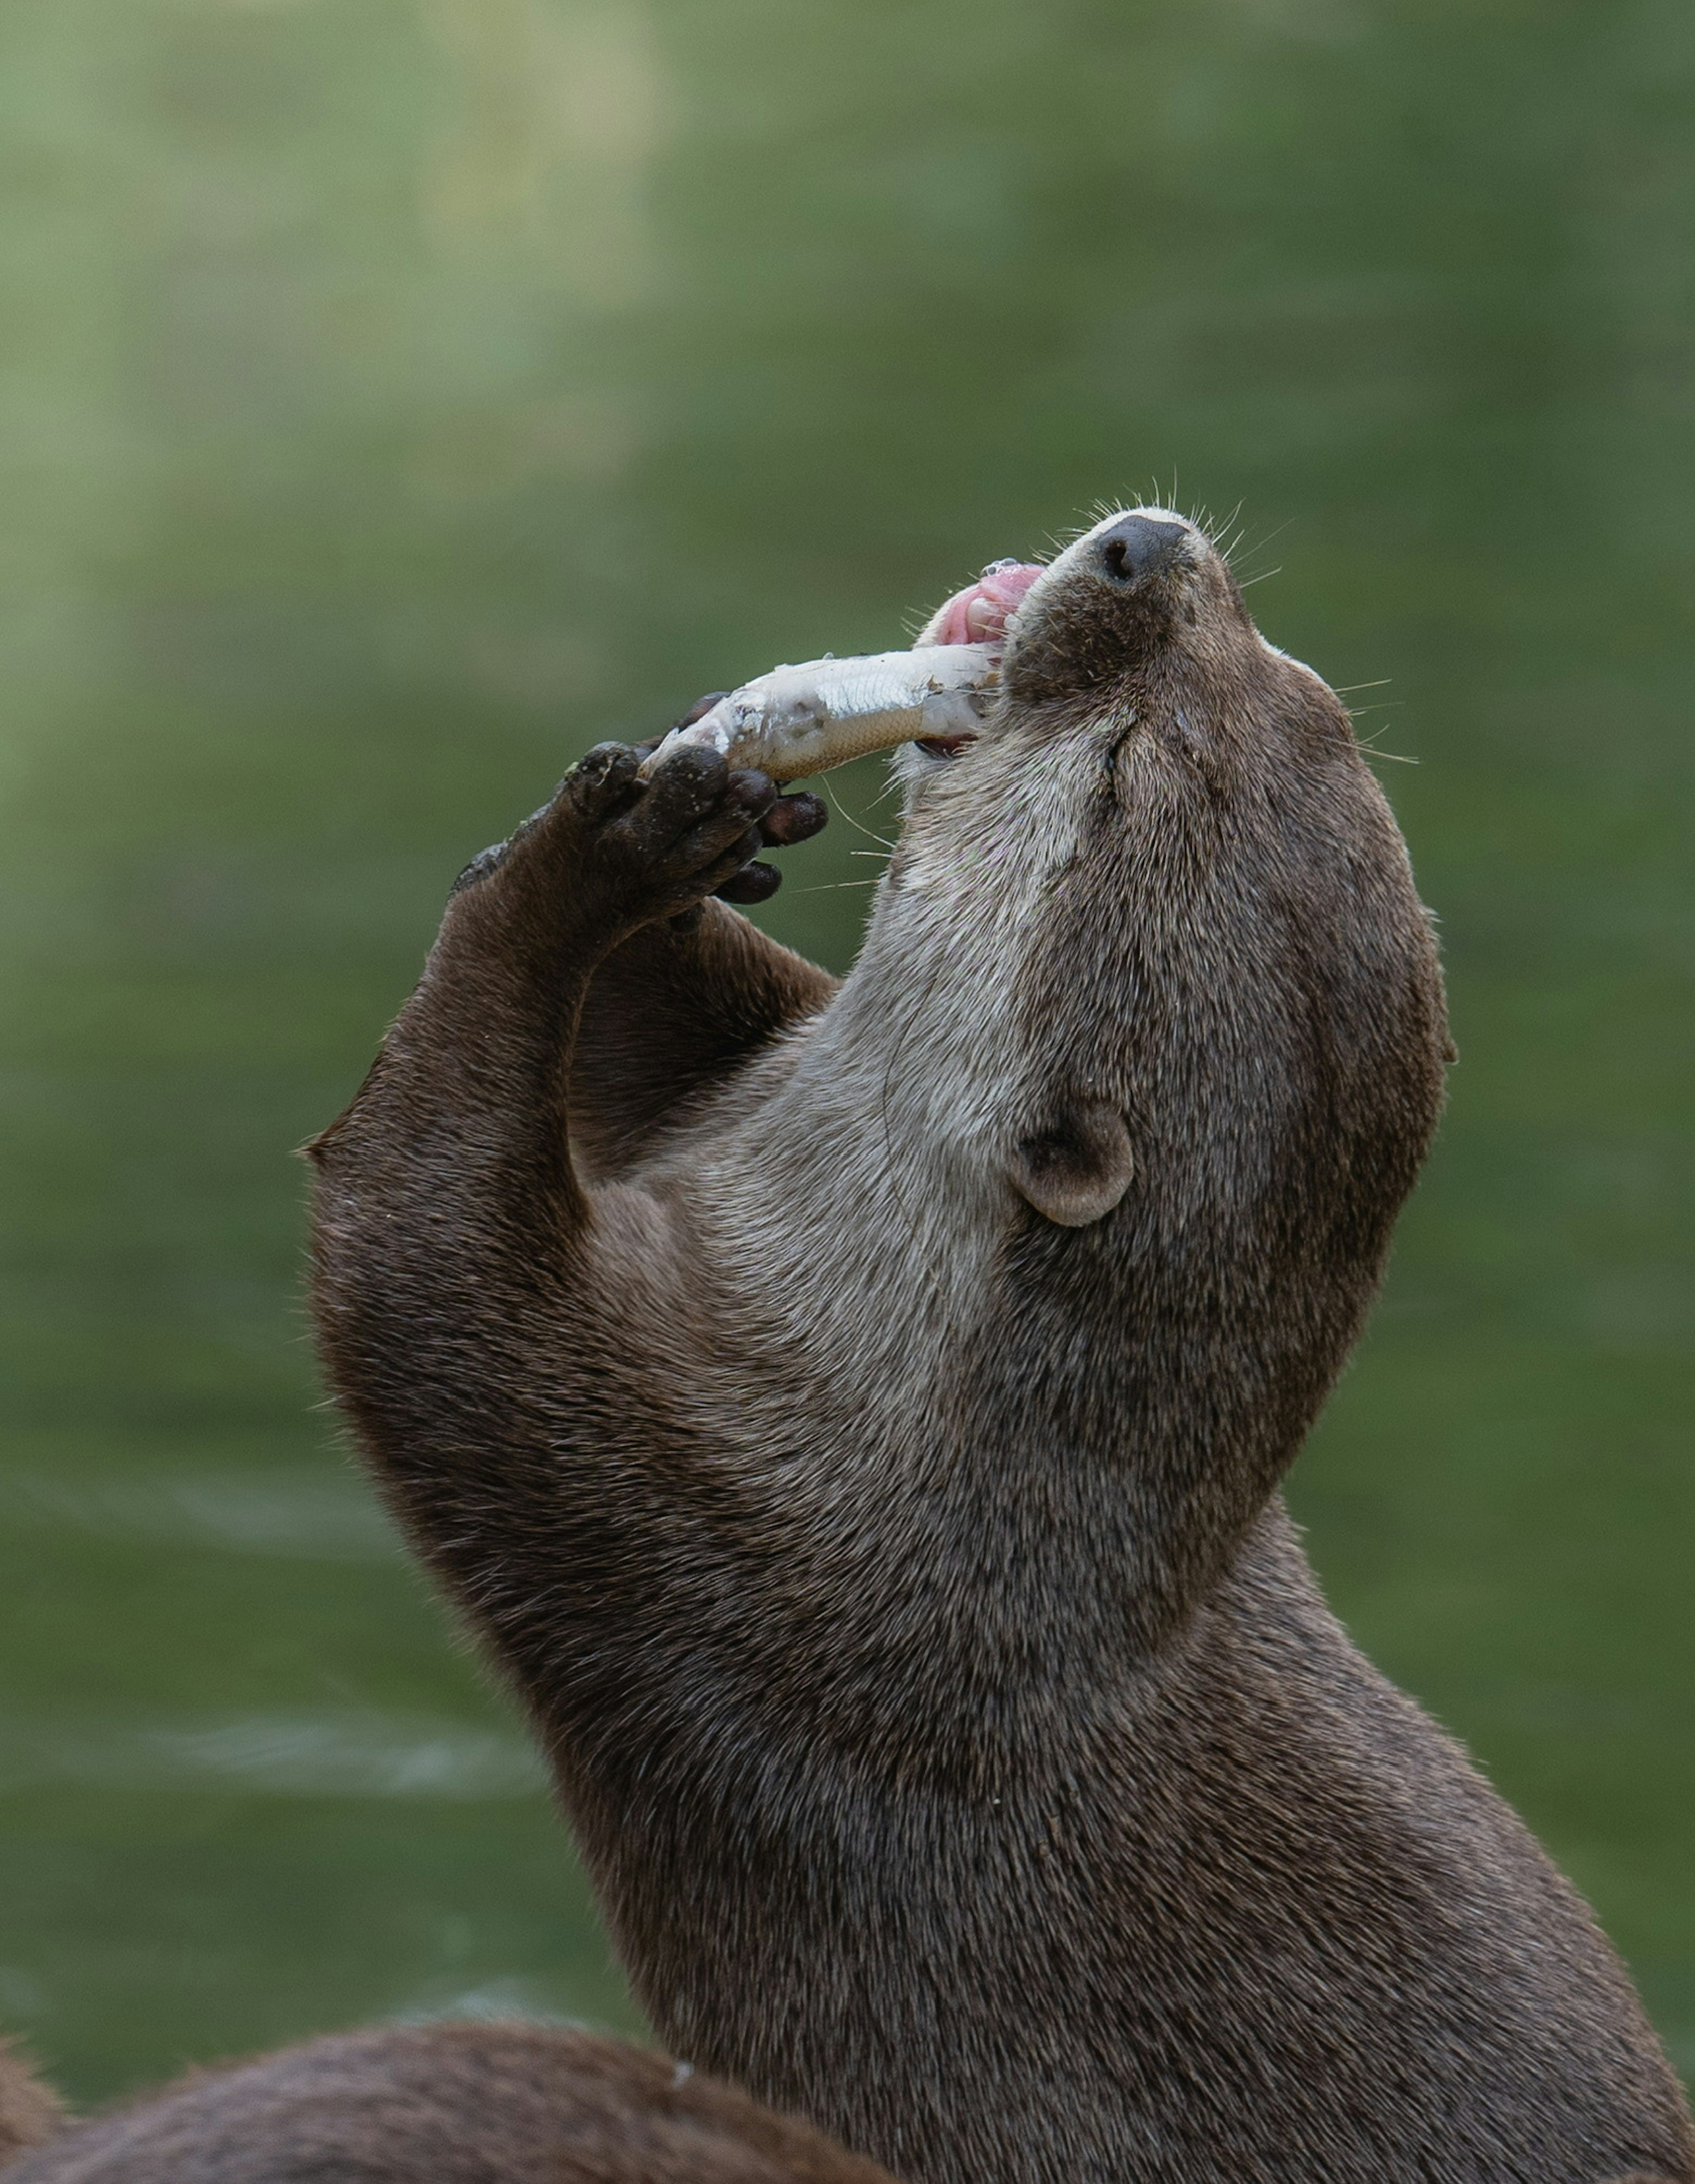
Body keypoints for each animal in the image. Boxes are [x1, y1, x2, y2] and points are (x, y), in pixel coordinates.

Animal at [308, 515, 1695, 2184]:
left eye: (1117, 771)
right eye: (1307, 692)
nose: (1145, 546)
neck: (902, 1400)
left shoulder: (675, 1497)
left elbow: (417, 1239)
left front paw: (596, 863)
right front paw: (716, 801)